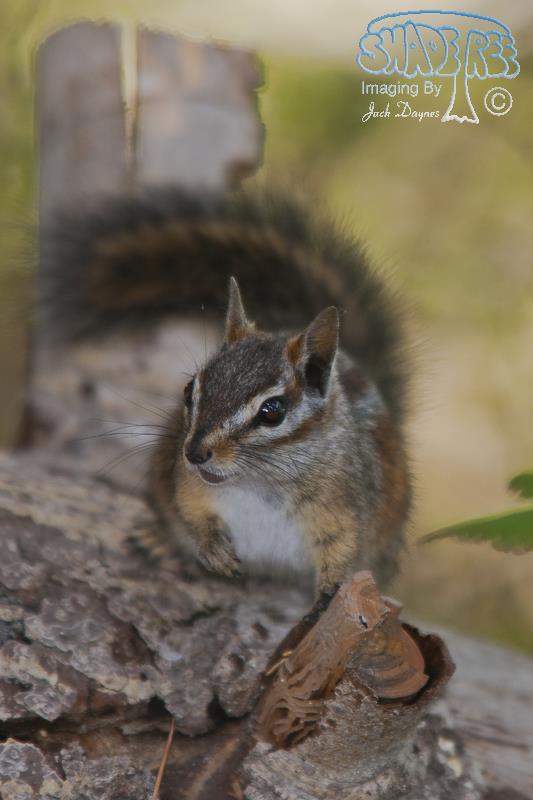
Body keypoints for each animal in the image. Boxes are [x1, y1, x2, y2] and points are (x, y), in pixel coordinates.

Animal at [41, 186, 411, 597]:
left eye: (272, 411)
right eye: (189, 389)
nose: (194, 453)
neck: (257, 482)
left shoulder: (346, 505)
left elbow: (343, 552)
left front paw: (331, 590)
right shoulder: (188, 484)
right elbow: (190, 509)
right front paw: (210, 547)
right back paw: (160, 540)